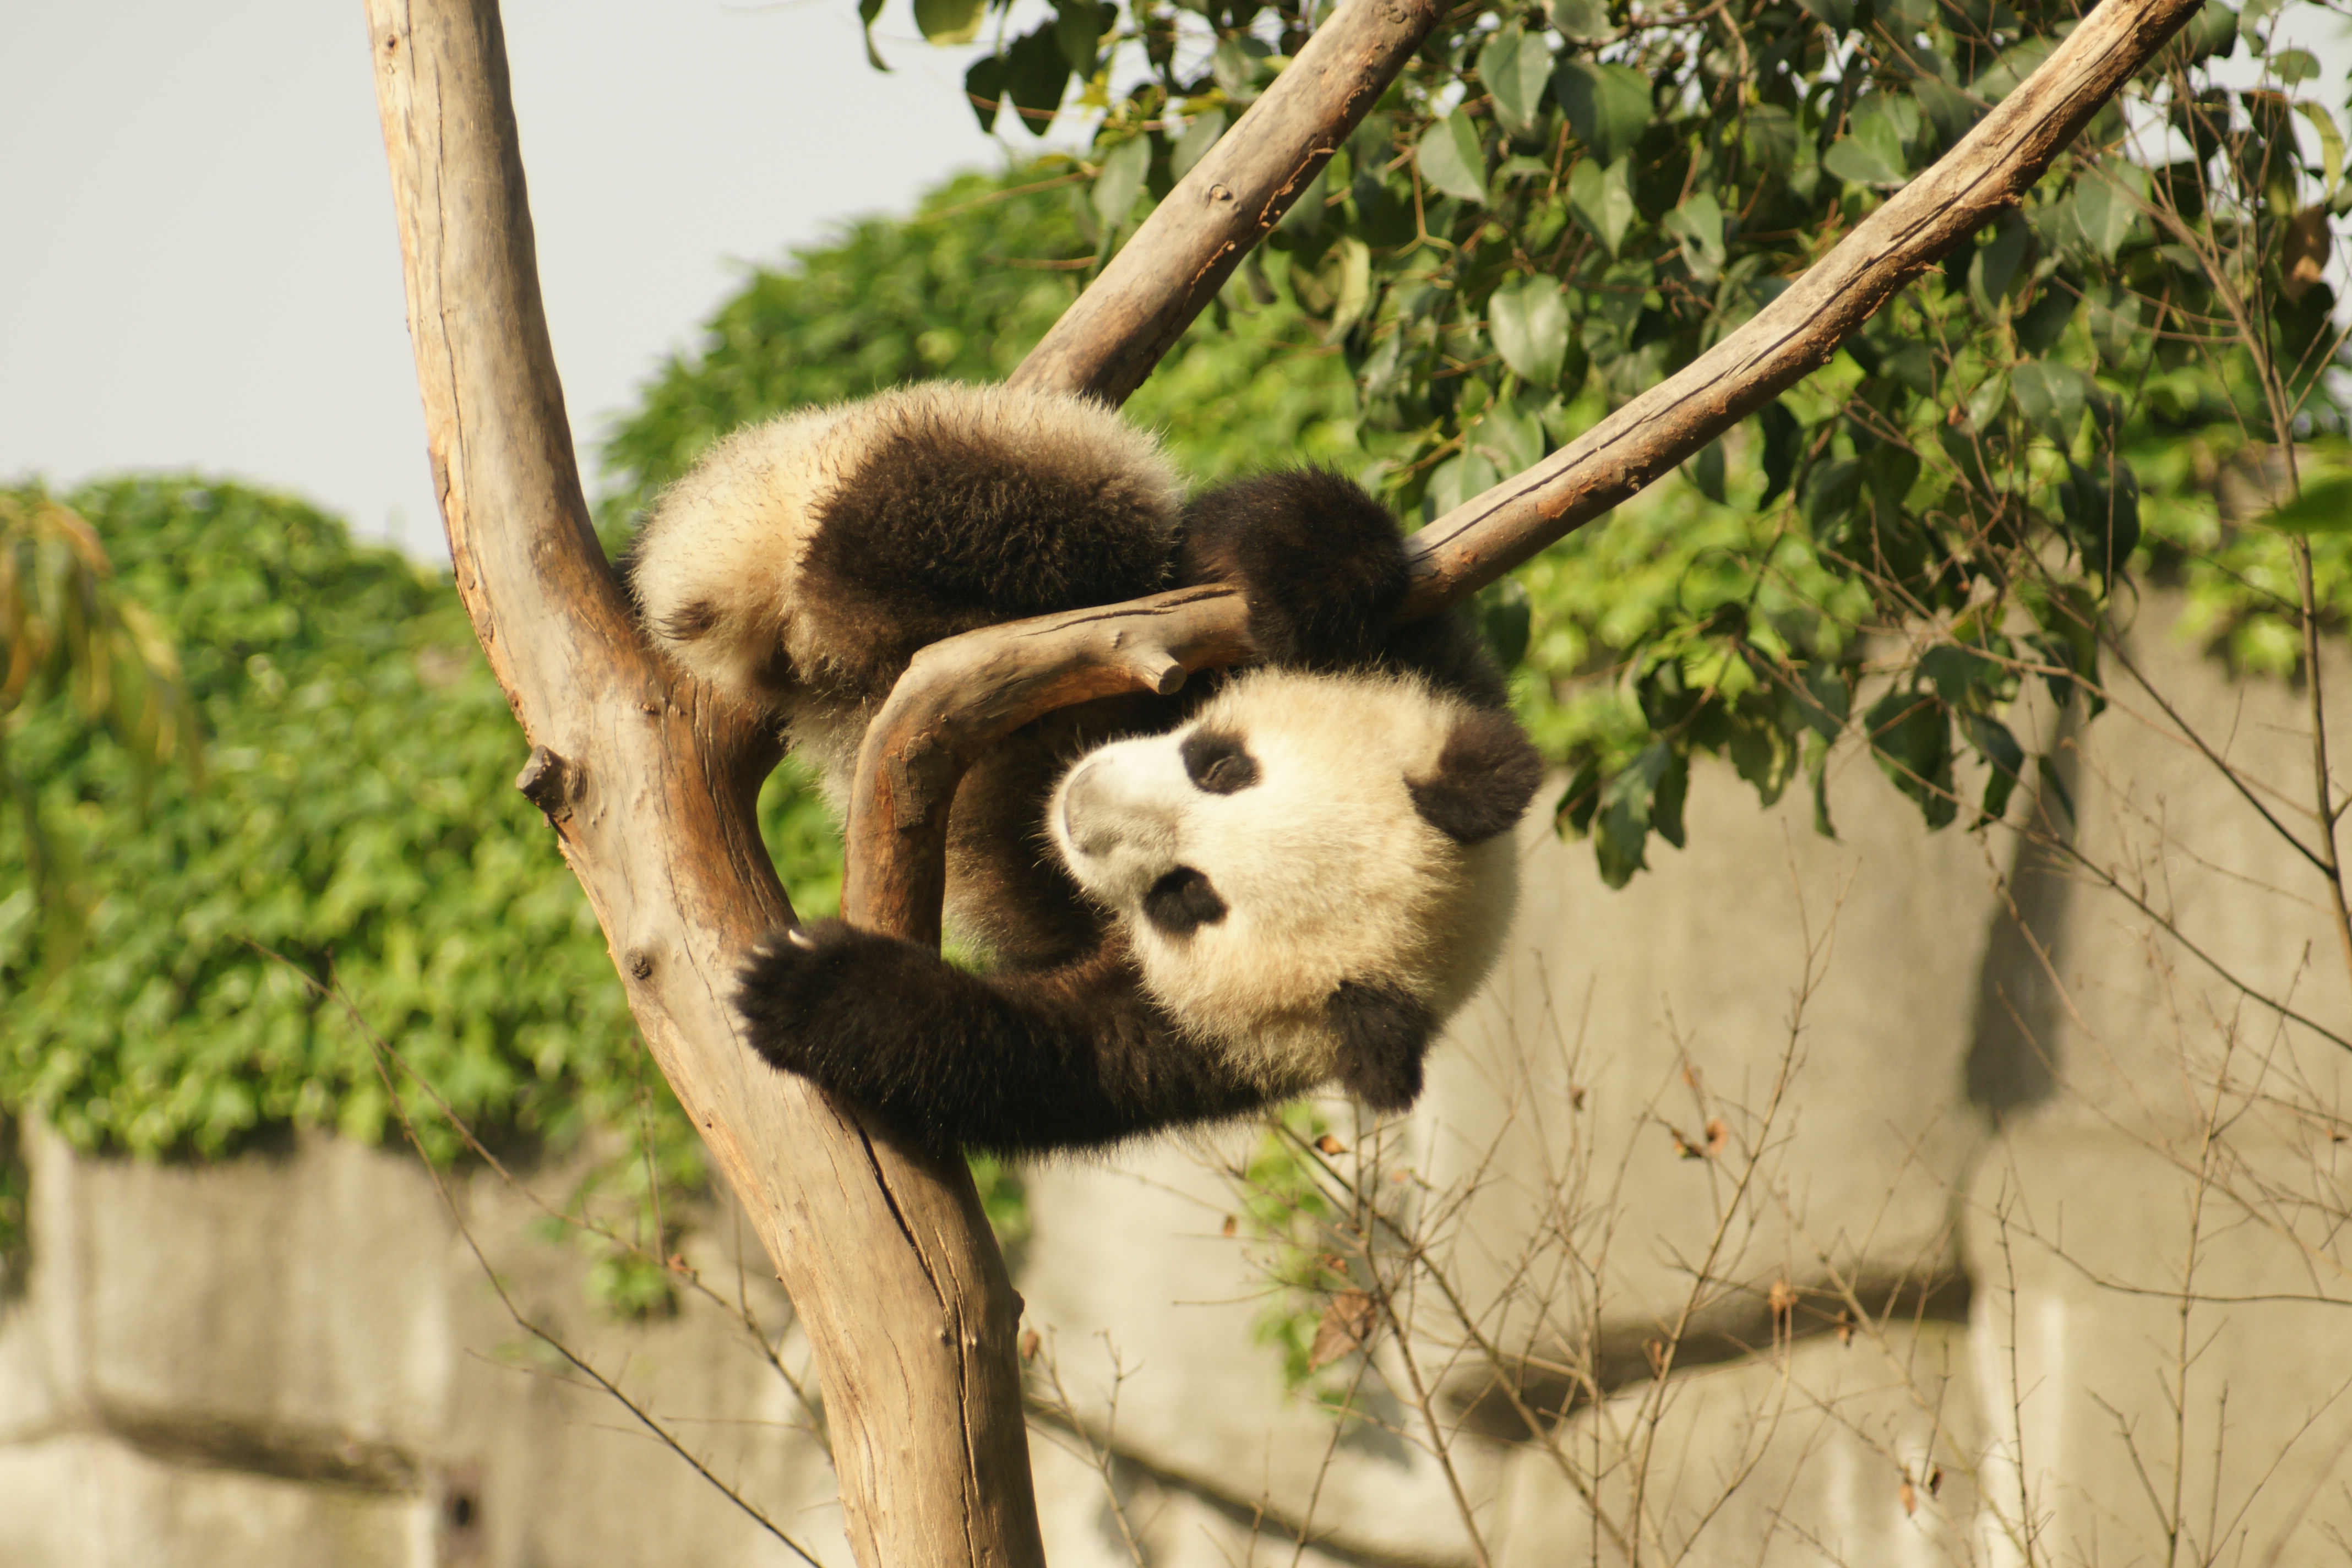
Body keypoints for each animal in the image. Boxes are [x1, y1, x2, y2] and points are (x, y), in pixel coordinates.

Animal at [625, 381, 1542, 1155]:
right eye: (1222, 765)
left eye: (1184, 897)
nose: (1081, 810)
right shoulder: (1443, 672)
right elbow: (1232, 537)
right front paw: (1310, 589)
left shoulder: (1204, 1047)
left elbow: (1041, 1059)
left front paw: (814, 990)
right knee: (1042, 504)